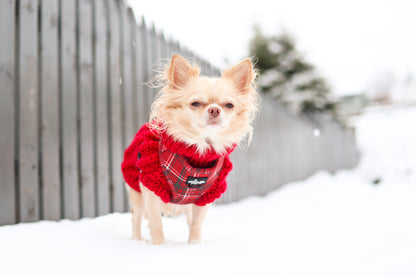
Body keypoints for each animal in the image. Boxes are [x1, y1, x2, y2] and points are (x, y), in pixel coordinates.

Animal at [120, 54, 258, 244]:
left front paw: (194, 245)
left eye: (229, 105)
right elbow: (156, 224)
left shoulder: (204, 197)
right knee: (136, 218)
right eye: (195, 103)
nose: (214, 109)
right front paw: (158, 246)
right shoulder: (151, 188)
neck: (199, 149)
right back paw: (137, 240)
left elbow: (196, 224)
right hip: (136, 193)